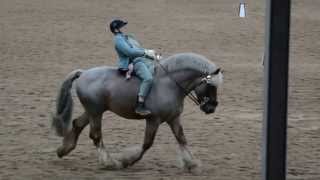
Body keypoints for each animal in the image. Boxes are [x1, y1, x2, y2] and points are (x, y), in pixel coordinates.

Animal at [52, 52, 222, 173]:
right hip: (95, 113)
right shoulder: (153, 120)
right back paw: (109, 163)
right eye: (210, 85)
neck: (169, 84)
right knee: (96, 135)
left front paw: (192, 164)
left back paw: (63, 150)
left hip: (93, 111)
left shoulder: (173, 118)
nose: (211, 108)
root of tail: (83, 73)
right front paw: (127, 161)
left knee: (77, 124)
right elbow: (147, 144)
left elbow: (181, 138)